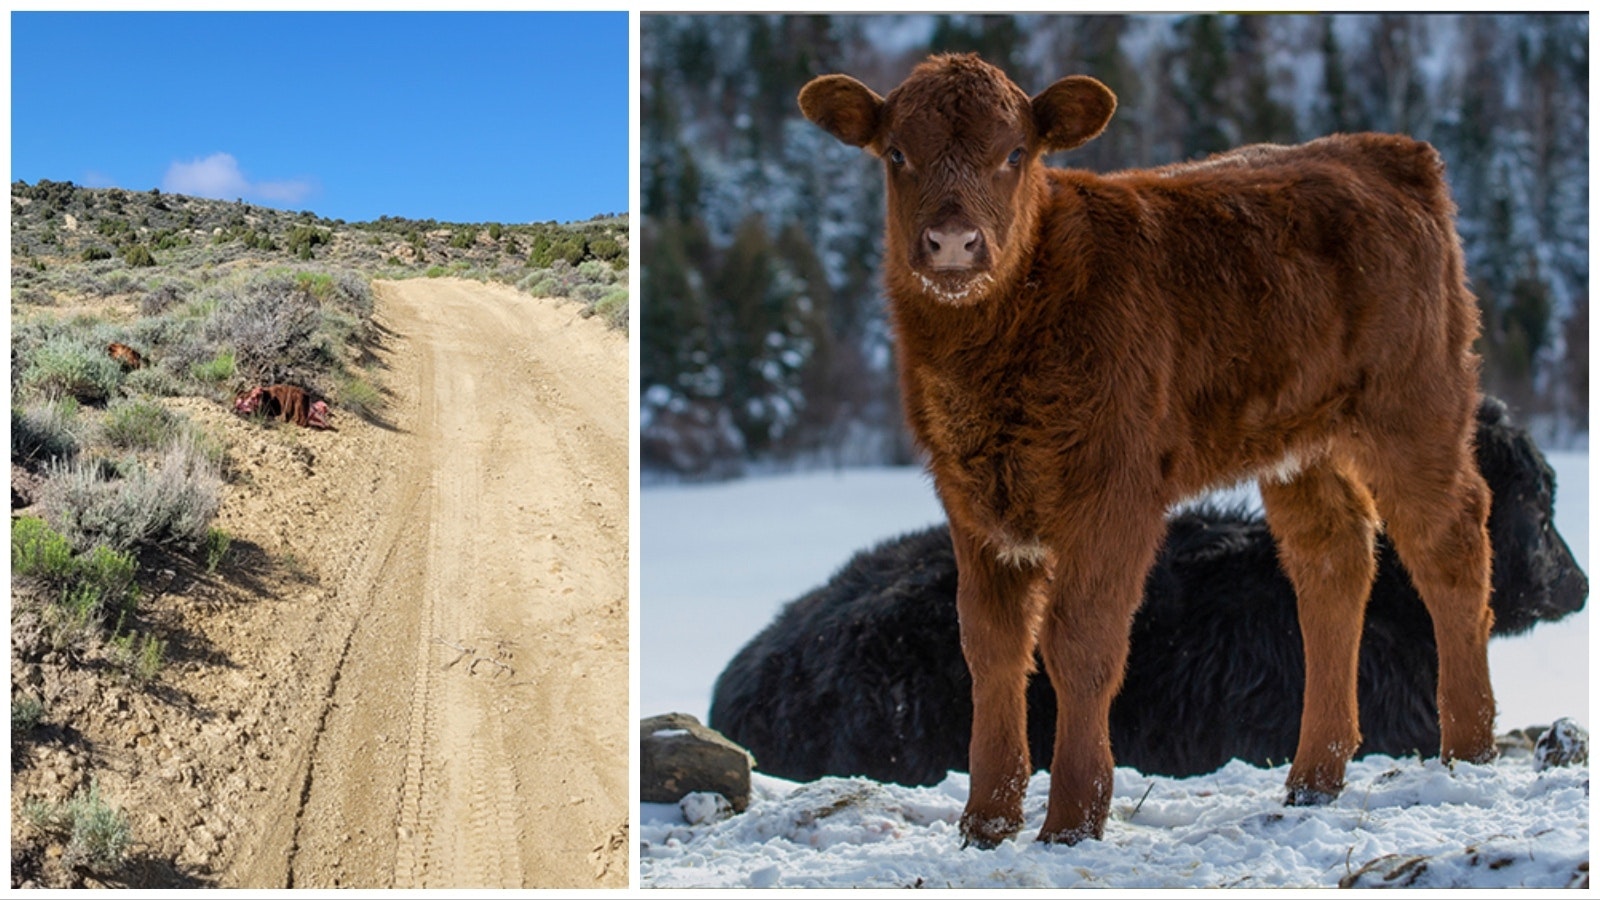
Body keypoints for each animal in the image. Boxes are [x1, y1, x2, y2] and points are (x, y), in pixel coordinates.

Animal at [798, 54, 1495, 846]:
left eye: (1014, 153)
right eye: (896, 154)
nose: (952, 243)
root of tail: (1384, 150)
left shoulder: (1115, 491)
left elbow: (1080, 644)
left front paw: (1072, 818)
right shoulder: (971, 498)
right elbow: (991, 646)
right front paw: (987, 820)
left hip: (1414, 407)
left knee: (1451, 547)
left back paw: (1468, 751)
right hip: (1301, 442)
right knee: (1333, 562)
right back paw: (1314, 776)